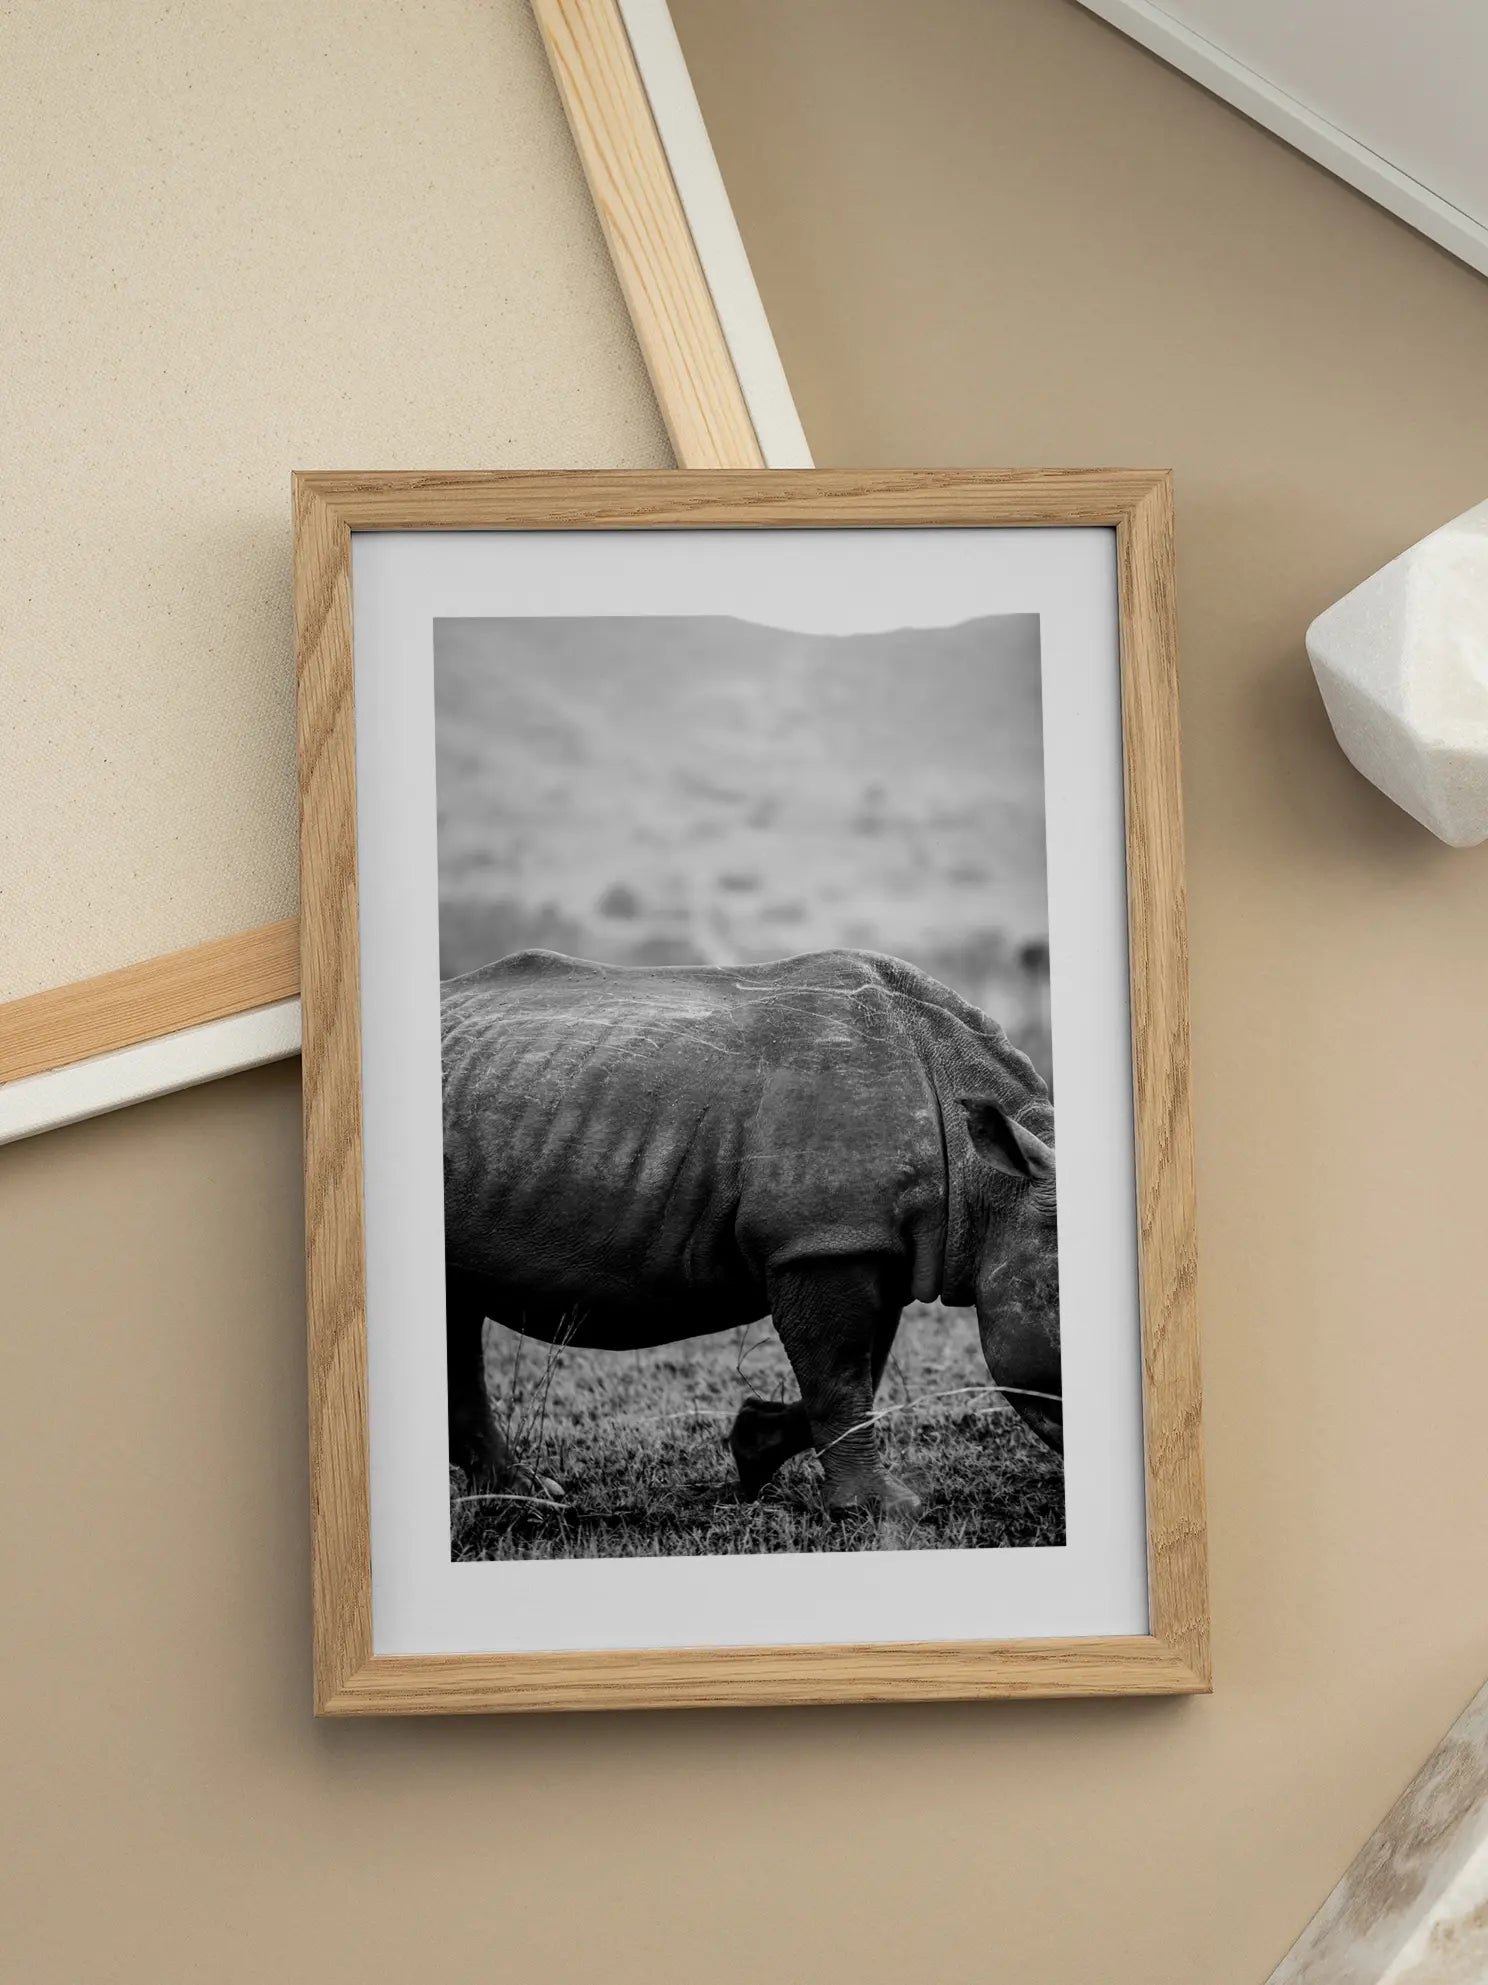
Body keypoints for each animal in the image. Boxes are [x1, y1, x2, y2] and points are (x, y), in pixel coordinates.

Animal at [443, 947, 1059, 1513]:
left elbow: (864, 1365)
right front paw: (879, 1508)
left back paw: (520, 1493)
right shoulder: (819, 1242)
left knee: (459, 1313)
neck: (993, 1186)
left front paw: (754, 1447)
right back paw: (528, 1496)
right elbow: (841, 1374)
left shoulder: (863, 1240)